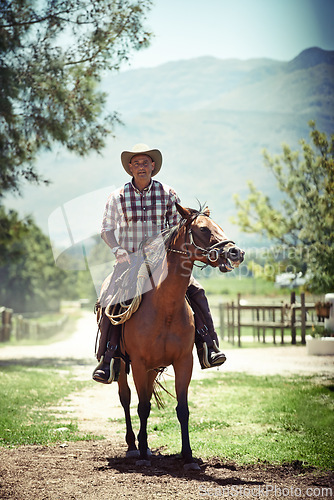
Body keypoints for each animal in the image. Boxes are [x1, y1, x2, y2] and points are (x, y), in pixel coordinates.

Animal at [114, 202, 243, 468]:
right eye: (203, 229)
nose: (236, 253)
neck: (165, 308)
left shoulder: (184, 361)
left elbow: (182, 409)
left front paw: (188, 456)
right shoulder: (139, 363)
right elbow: (142, 407)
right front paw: (143, 457)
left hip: (152, 369)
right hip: (122, 364)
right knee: (126, 397)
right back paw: (133, 446)